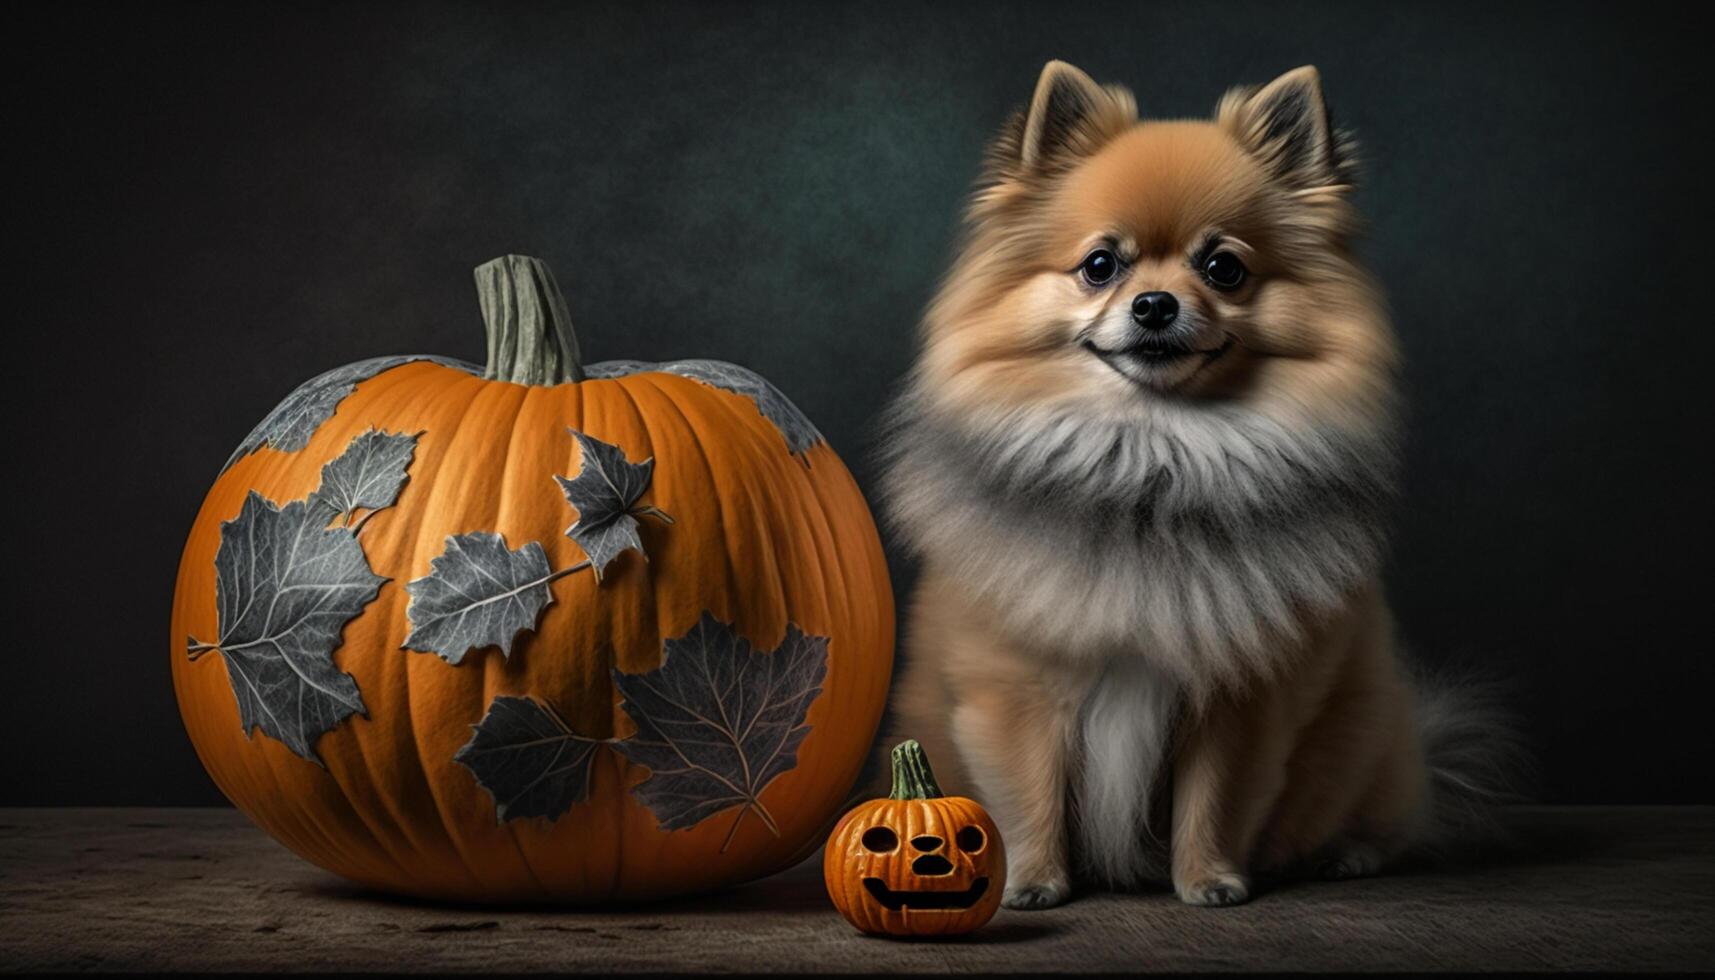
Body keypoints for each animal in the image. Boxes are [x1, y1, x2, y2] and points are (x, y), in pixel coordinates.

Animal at [878, 57, 1522, 906]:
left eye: (1223, 267)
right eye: (1099, 266)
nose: (1154, 304)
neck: (1156, 458)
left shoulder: (1238, 700)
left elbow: (1213, 798)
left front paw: (1209, 881)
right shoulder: (1015, 692)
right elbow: (1027, 794)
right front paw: (1033, 881)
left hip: (1368, 740)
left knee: (1383, 821)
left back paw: (1345, 854)